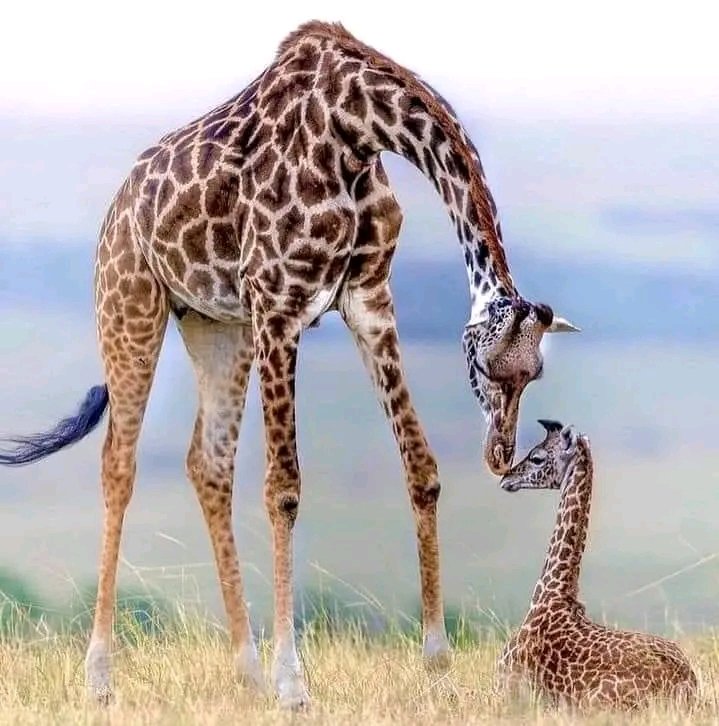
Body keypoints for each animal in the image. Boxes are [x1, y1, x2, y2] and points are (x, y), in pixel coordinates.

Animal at [0, 22, 578, 708]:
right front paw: (292, 683)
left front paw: (437, 666)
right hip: (130, 304)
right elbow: (284, 489)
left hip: (218, 326)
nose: (499, 454)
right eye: (487, 369)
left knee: (208, 463)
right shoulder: (279, 304)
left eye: (532, 375)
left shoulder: (368, 299)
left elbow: (421, 468)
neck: (356, 129)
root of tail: (117, 207)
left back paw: (245, 671)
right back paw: (100, 678)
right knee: (119, 463)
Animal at [496, 420, 697, 710]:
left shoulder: (505, 690)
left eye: (537, 457)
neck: (550, 595)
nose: (506, 479)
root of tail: (684, 684)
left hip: (596, 703)